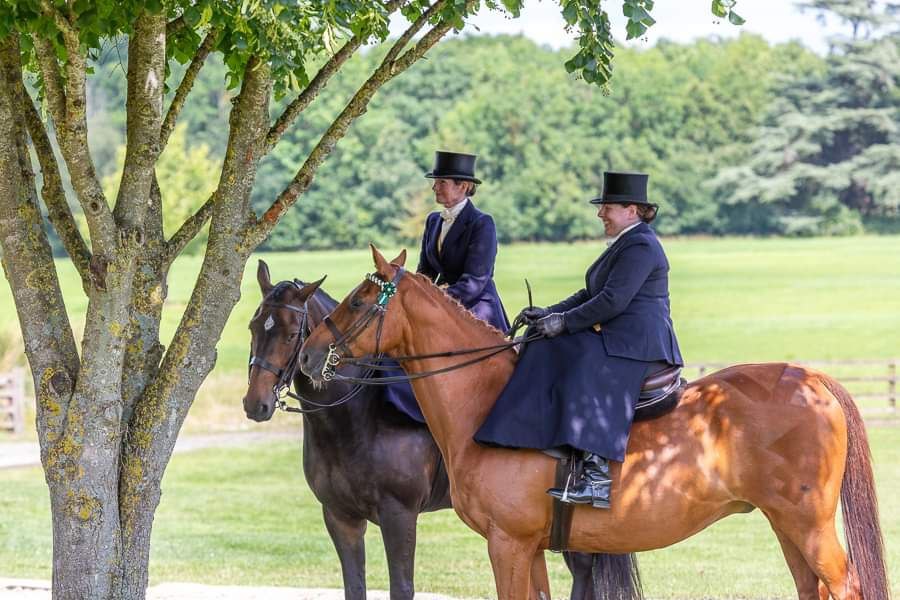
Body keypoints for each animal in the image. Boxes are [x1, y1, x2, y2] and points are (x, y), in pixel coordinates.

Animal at [298, 245, 888, 600]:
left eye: (359, 301)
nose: (308, 356)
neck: (484, 398)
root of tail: (811, 378)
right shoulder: (530, 548)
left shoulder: (506, 544)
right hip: (787, 526)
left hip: (808, 526)